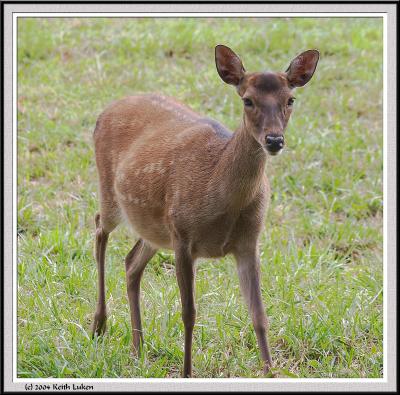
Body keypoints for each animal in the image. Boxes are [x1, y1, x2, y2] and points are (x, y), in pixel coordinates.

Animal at [90, 44, 318, 378]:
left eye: (290, 99)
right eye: (247, 100)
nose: (274, 140)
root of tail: (105, 111)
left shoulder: (249, 242)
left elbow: (259, 315)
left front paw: (269, 372)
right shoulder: (184, 238)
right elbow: (189, 313)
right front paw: (187, 373)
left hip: (156, 227)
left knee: (131, 262)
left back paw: (137, 347)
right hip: (112, 193)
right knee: (99, 230)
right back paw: (99, 325)